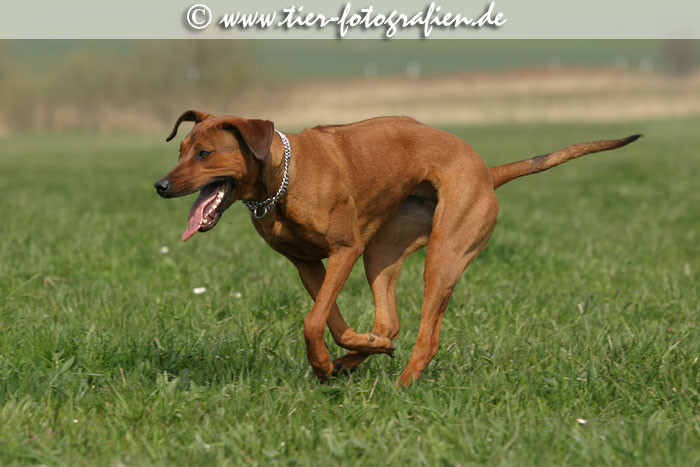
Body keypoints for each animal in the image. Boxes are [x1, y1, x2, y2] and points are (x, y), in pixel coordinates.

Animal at [154, 110, 640, 388]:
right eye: (180, 150)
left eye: (204, 154)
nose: (160, 186)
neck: (282, 179)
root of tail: (487, 171)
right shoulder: (308, 263)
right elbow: (330, 322)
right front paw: (341, 359)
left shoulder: (344, 249)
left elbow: (313, 323)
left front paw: (324, 365)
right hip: (382, 251)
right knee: (390, 321)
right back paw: (363, 354)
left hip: (444, 254)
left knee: (428, 335)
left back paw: (403, 385)